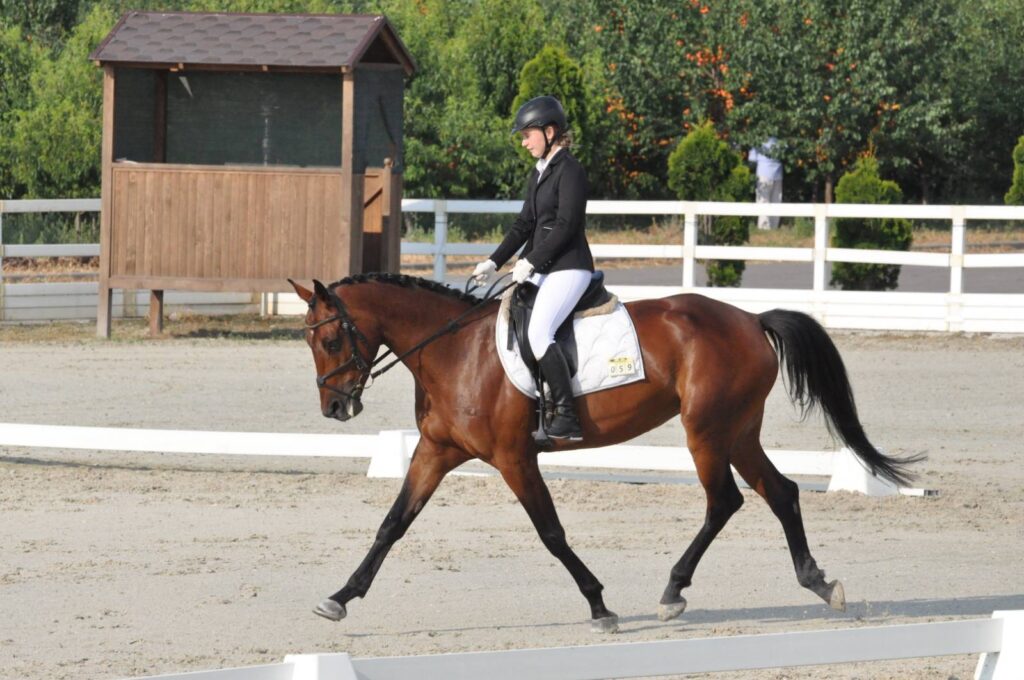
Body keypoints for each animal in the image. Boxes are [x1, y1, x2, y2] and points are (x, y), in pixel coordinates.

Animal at [288, 274, 921, 634]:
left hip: (707, 431)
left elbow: (551, 533)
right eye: (310, 340)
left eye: (331, 338)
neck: (453, 350)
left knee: (724, 502)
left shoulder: (514, 458)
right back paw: (818, 582)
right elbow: (392, 525)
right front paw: (339, 599)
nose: (335, 408)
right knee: (780, 493)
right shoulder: (436, 452)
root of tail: (750, 318)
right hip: (738, 431)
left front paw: (599, 607)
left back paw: (672, 593)